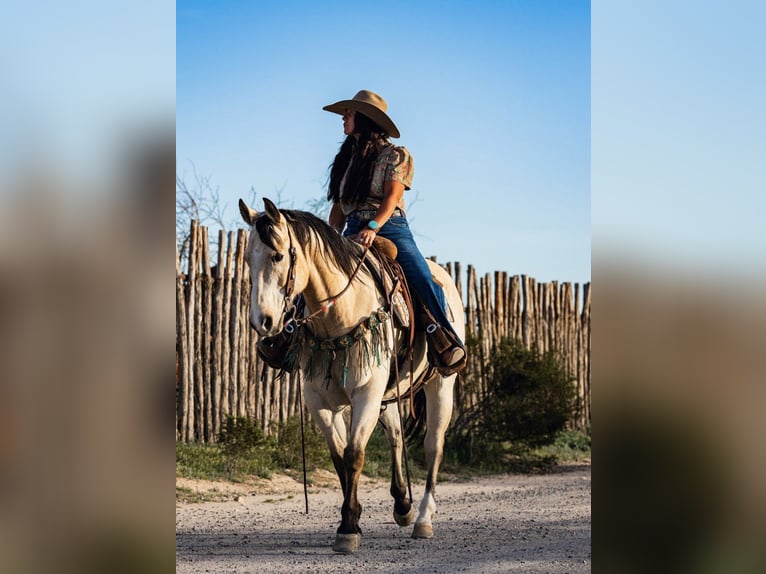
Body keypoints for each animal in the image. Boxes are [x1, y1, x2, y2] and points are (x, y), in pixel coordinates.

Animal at [238, 197, 465, 554]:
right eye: (248, 259)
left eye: (277, 255)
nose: (263, 322)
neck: (342, 315)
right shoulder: (320, 401)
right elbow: (338, 456)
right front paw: (352, 520)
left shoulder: (366, 394)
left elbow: (354, 453)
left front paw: (347, 527)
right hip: (388, 395)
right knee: (396, 435)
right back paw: (403, 505)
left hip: (441, 385)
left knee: (433, 446)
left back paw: (423, 518)